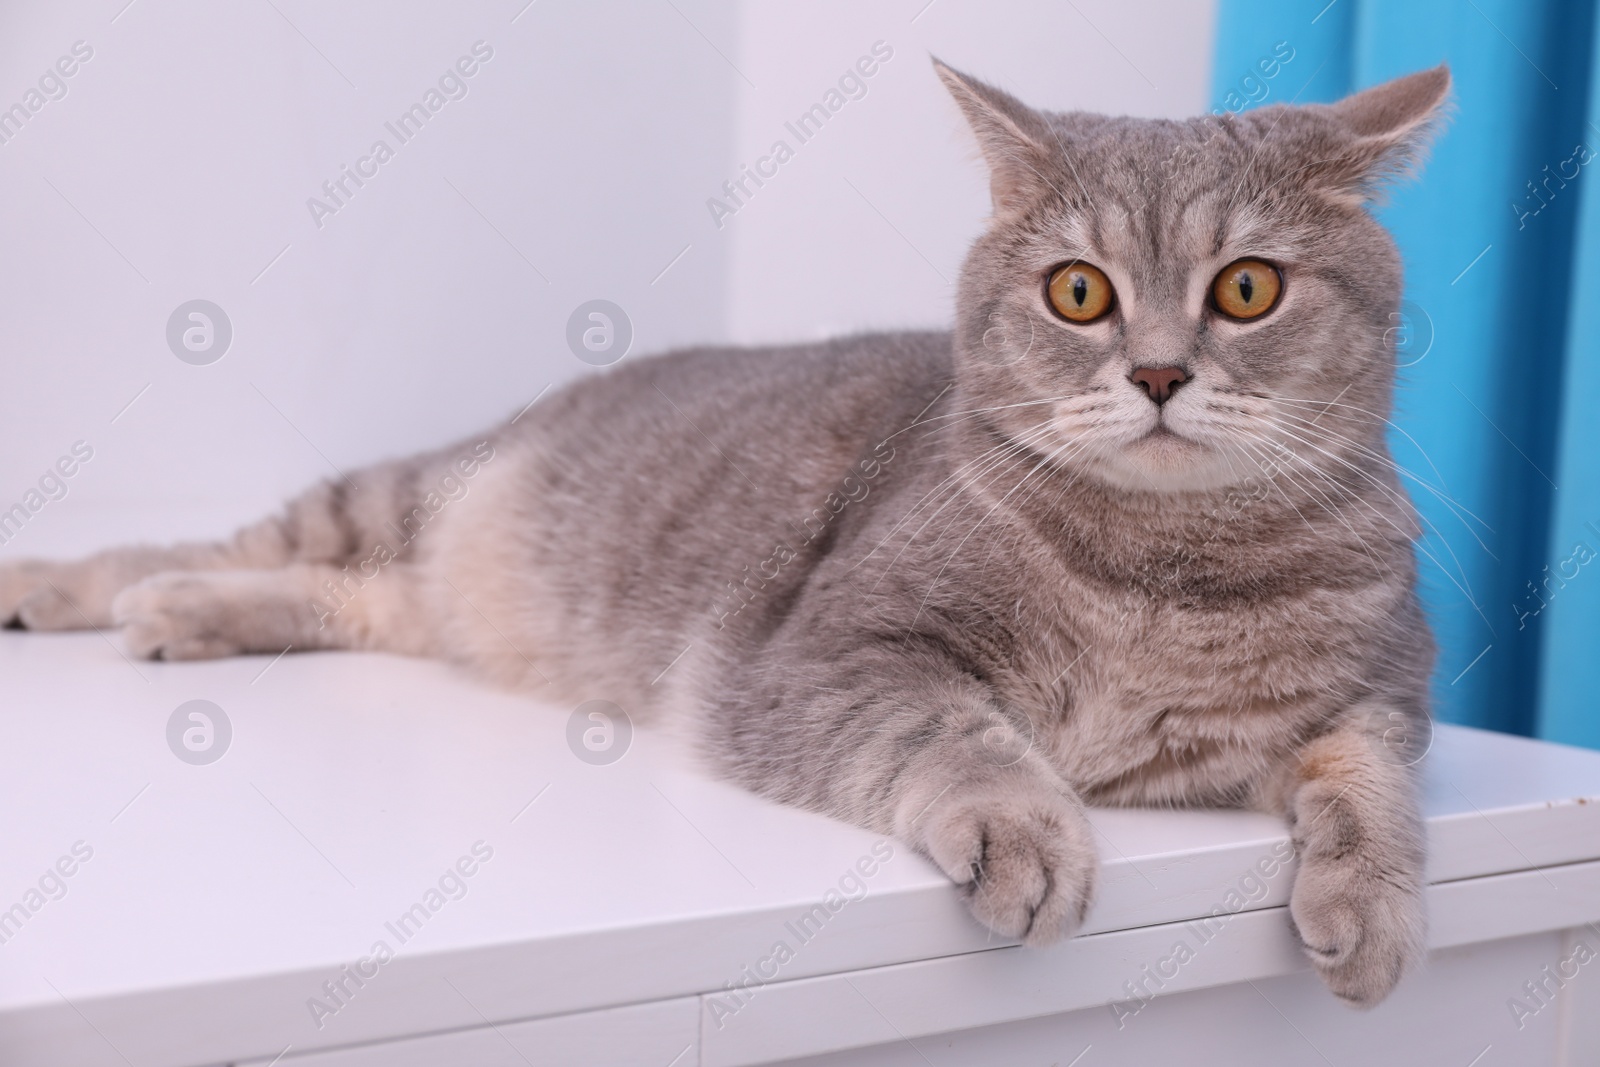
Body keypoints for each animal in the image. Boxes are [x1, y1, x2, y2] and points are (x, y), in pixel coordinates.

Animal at [3, 60, 1452, 1011]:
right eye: (1079, 292)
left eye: (1246, 289)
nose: (1156, 372)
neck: (1161, 567)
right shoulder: (821, 655)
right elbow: (961, 734)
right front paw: (1025, 826)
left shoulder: (1382, 692)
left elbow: (1374, 780)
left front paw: (1372, 908)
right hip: (398, 496)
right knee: (224, 544)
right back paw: (82, 588)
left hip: (423, 590)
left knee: (343, 595)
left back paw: (190, 616)